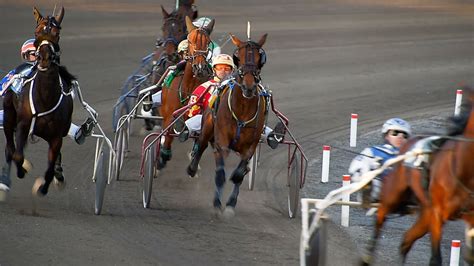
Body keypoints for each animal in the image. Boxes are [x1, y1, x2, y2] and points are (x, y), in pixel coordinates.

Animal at [0, 6, 75, 198]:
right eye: (37, 32)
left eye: (57, 33)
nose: (44, 58)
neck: (45, 98)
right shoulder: (23, 124)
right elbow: (17, 155)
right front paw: (22, 169)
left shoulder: (57, 136)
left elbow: (51, 166)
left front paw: (45, 185)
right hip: (9, 115)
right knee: (10, 149)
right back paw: (5, 180)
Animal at [157, 15, 213, 169]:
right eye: (191, 41)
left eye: (207, 42)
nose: (199, 67)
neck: (188, 88)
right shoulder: (169, 114)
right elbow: (168, 131)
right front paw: (164, 154)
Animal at [186, 32, 268, 216]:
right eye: (238, 56)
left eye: (259, 57)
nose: (249, 86)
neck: (243, 109)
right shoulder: (222, 142)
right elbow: (220, 174)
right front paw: (217, 204)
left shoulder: (250, 146)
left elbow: (239, 175)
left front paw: (230, 204)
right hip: (208, 127)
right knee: (201, 145)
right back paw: (192, 168)